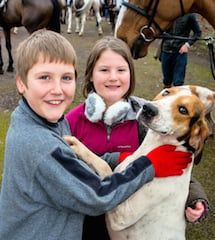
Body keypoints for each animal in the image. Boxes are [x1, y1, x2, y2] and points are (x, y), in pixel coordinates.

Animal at [64, 86, 211, 240]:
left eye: (183, 110)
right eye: (166, 92)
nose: (148, 108)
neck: (150, 148)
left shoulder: (120, 214)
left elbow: (105, 167)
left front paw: (77, 146)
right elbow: (103, 162)